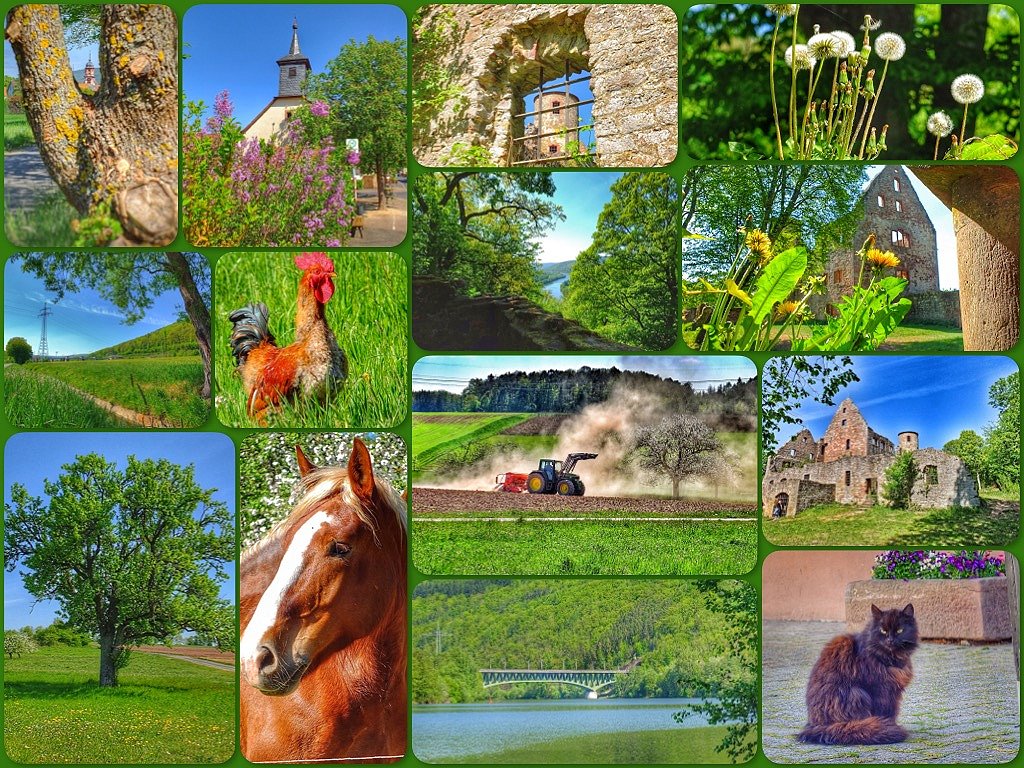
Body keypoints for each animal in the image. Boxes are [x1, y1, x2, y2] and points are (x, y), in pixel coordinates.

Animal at [798, 606, 921, 745]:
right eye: (883, 630)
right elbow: (886, 713)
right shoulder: (881, 691)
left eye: (900, 630)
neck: (890, 657)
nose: (890, 640)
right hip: (857, 693)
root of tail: (816, 726)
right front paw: (888, 727)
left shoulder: (894, 693)